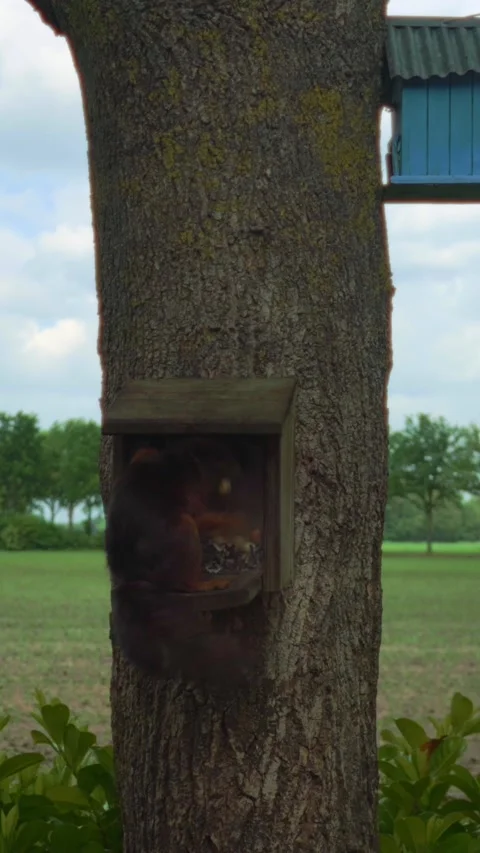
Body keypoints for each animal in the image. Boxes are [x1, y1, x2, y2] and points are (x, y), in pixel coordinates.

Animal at [106, 440, 255, 685]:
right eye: (222, 460)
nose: (240, 475)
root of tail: (132, 576)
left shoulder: (146, 455)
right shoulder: (191, 498)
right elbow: (205, 517)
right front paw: (241, 521)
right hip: (182, 532)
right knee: (183, 583)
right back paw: (205, 584)